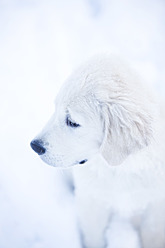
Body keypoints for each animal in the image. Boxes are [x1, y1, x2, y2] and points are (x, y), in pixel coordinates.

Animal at [30, 54, 165, 248]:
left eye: (72, 122)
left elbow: (153, 234)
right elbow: (93, 237)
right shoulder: (91, 202)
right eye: (55, 109)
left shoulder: (156, 205)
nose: (35, 146)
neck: (121, 168)